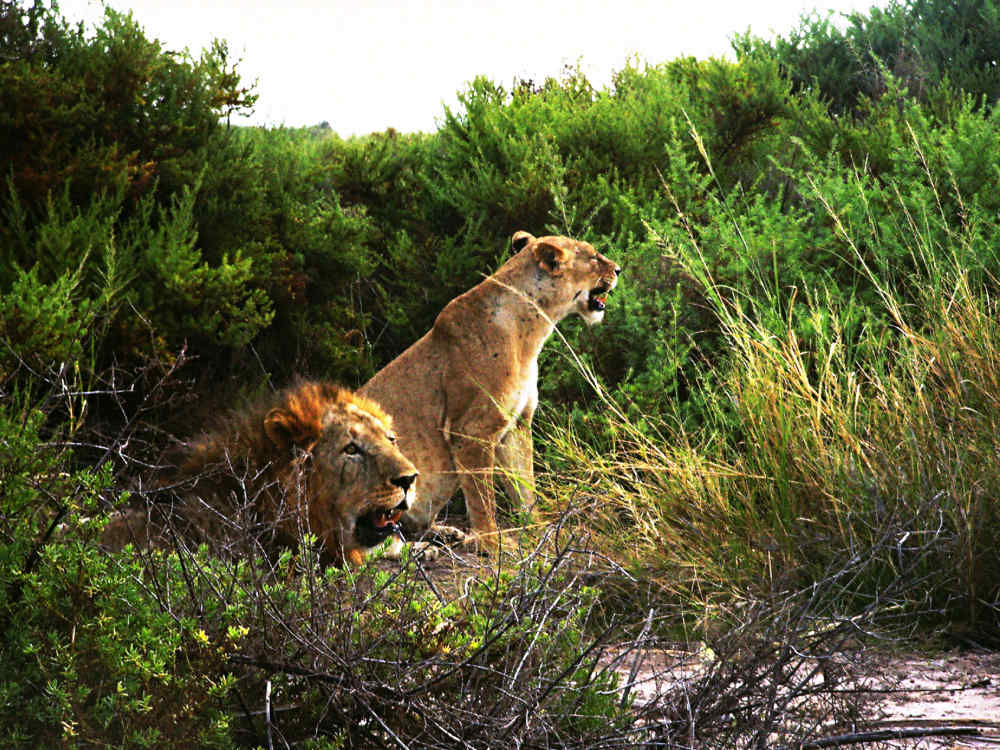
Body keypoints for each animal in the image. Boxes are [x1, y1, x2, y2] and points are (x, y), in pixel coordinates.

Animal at [364, 232, 620, 556]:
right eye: (594, 256)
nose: (618, 269)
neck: (531, 334)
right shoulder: (471, 429)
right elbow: (482, 496)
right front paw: (491, 542)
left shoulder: (518, 424)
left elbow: (525, 485)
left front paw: (538, 529)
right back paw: (423, 550)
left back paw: (445, 533)